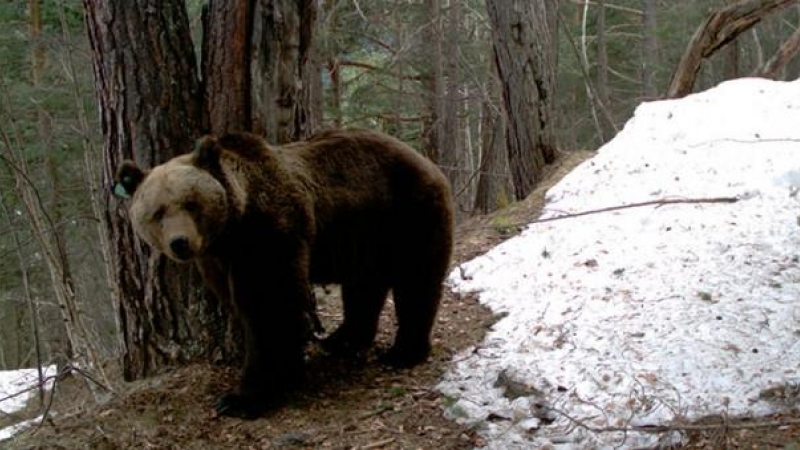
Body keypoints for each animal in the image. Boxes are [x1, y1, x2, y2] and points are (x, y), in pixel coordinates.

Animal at [109, 129, 454, 418]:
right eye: (157, 212)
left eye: (191, 203)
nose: (180, 243)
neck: (230, 231)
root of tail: (425, 160)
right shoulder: (216, 259)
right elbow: (239, 303)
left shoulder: (269, 235)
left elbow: (269, 308)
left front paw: (244, 398)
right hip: (364, 235)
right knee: (364, 288)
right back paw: (341, 340)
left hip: (407, 213)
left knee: (415, 281)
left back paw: (403, 352)